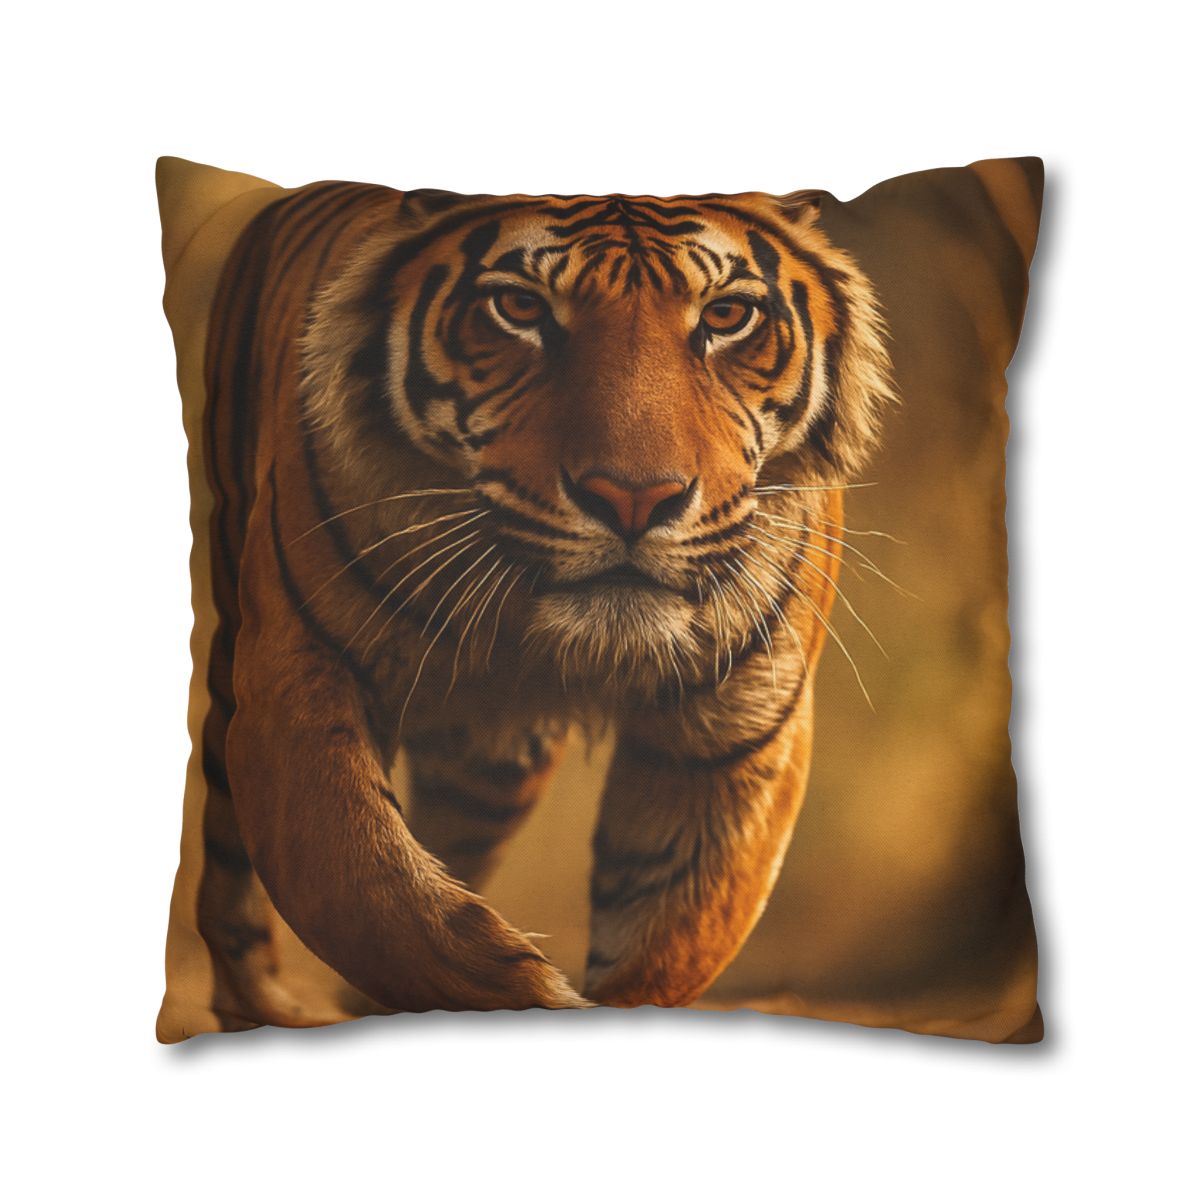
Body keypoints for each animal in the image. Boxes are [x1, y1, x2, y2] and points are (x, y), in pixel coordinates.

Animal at [191, 179, 896, 1030]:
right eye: (519, 307)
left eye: (727, 316)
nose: (634, 499)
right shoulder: (298, 685)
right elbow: (370, 887)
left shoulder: (735, 731)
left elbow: (668, 937)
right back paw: (260, 1003)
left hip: (493, 769)